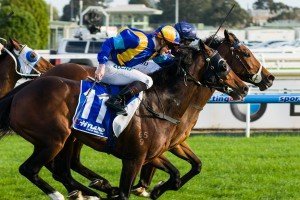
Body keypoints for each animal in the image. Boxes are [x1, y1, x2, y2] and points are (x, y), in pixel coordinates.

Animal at [0, 41, 248, 199]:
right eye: (224, 64)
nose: (244, 87)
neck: (161, 104)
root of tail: (25, 89)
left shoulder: (153, 153)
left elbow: (178, 173)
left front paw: (154, 189)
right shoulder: (133, 159)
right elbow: (126, 192)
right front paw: (144, 189)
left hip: (64, 139)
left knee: (61, 169)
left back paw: (93, 191)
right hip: (54, 139)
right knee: (31, 169)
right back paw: (67, 193)